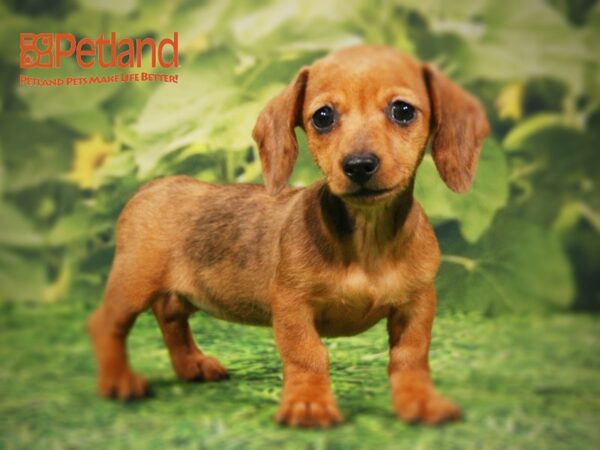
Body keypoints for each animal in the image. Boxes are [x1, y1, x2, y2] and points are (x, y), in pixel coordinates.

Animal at [90, 45, 492, 428]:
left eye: (403, 110)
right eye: (323, 117)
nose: (359, 165)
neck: (367, 238)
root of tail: (151, 186)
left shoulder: (417, 305)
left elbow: (411, 356)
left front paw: (420, 400)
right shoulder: (292, 306)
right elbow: (308, 355)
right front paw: (309, 404)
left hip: (183, 295)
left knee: (170, 319)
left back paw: (192, 364)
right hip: (133, 286)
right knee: (105, 324)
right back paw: (119, 380)